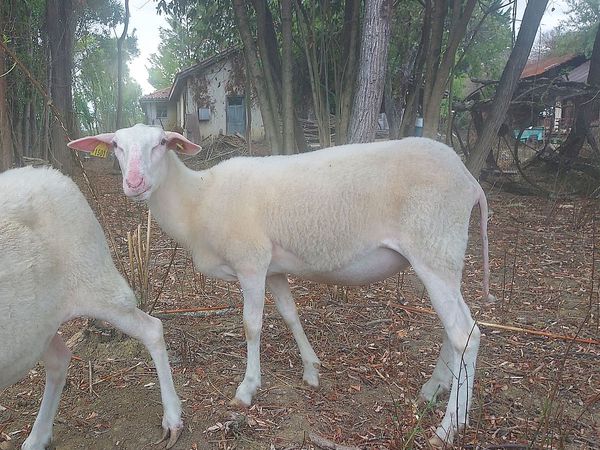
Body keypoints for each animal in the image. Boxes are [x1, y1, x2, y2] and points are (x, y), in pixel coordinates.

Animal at [0, 166, 183, 450]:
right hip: (37, 322)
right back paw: (37, 438)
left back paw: (172, 419)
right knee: (59, 358)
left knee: (152, 328)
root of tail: (53, 173)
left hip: (97, 281)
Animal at [70, 124, 492, 446]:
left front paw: (247, 389)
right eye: (116, 146)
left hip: (435, 247)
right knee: (456, 327)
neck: (197, 200)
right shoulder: (273, 269)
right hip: (439, 256)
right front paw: (311, 370)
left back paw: (449, 426)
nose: (134, 182)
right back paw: (434, 388)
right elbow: (290, 315)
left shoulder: (251, 263)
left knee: (466, 335)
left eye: (160, 142)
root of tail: (470, 179)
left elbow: (252, 326)